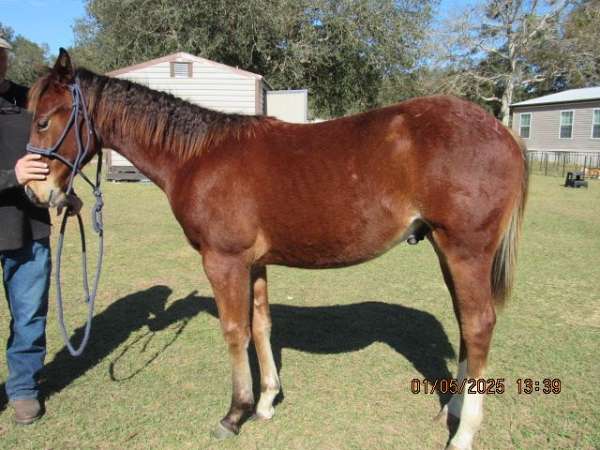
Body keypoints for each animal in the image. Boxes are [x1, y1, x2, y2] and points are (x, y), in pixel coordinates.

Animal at [25, 50, 528, 450]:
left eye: (44, 120)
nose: (37, 192)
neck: (198, 156)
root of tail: (503, 133)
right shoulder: (256, 264)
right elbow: (261, 326)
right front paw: (266, 402)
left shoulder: (223, 261)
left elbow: (234, 331)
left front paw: (235, 413)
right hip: (447, 251)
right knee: (465, 324)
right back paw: (451, 411)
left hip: (465, 250)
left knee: (478, 325)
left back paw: (463, 434)